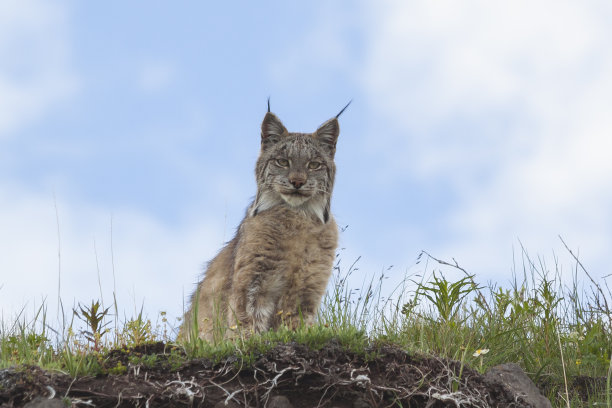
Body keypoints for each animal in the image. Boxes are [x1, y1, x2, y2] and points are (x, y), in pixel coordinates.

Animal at [178, 102, 350, 342]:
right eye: (282, 162)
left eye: (314, 165)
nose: (297, 182)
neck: (298, 216)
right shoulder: (253, 282)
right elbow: (247, 320)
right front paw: (247, 342)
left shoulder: (308, 290)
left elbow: (295, 325)